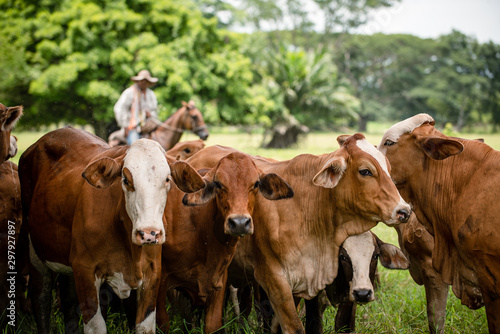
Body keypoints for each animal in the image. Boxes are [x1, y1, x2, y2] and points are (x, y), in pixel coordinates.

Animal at [156, 151, 294, 332]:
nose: (240, 223)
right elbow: (163, 323)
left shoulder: (218, 284)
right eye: (218, 183)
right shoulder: (160, 284)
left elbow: (213, 325)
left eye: (256, 183)